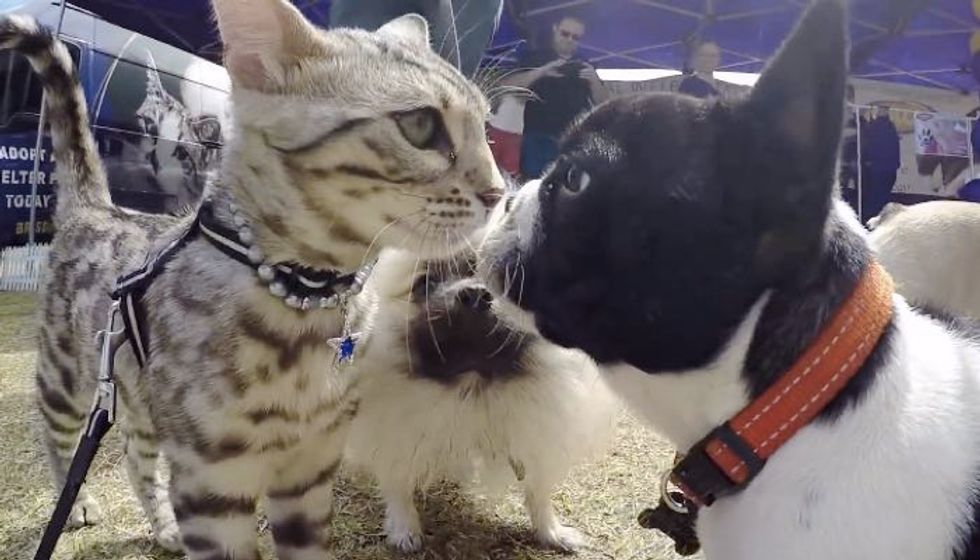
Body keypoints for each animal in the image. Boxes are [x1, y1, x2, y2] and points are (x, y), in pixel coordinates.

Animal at [0, 2, 502, 556]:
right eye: (419, 124)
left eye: (486, 127)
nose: (499, 191)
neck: (308, 303)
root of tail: (96, 205)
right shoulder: (211, 481)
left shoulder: (311, 468)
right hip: (66, 376)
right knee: (57, 435)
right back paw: (79, 503)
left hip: (140, 397)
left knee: (135, 452)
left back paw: (164, 526)